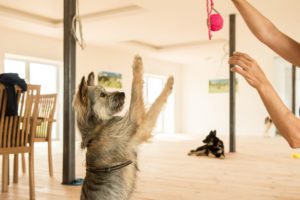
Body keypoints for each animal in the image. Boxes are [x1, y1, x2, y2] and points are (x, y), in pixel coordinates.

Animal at [73, 55, 175, 200]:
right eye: (102, 95)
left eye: (105, 90)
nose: (122, 94)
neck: (98, 127)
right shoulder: (138, 124)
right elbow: (138, 89)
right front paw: (138, 64)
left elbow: (151, 101)